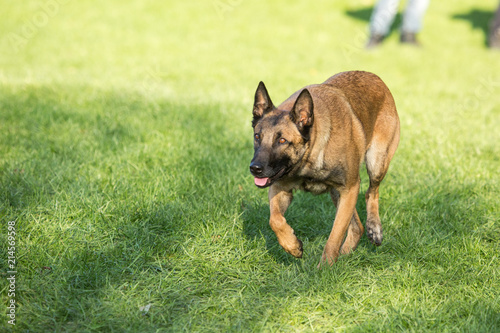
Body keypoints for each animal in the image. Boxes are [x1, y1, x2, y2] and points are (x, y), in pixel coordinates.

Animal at [250, 71, 402, 266]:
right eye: (257, 137)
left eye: (282, 140)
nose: (255, 168)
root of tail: (375, 77)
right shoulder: (280, 187)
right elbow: (274, 220)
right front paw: (292, 245)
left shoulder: (350, 188)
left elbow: (334, 236)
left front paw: (324, 268)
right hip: (338, 194)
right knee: (356, 227)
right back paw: (345, 254)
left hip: (376, 163)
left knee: (371, 193)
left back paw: (374, 228)